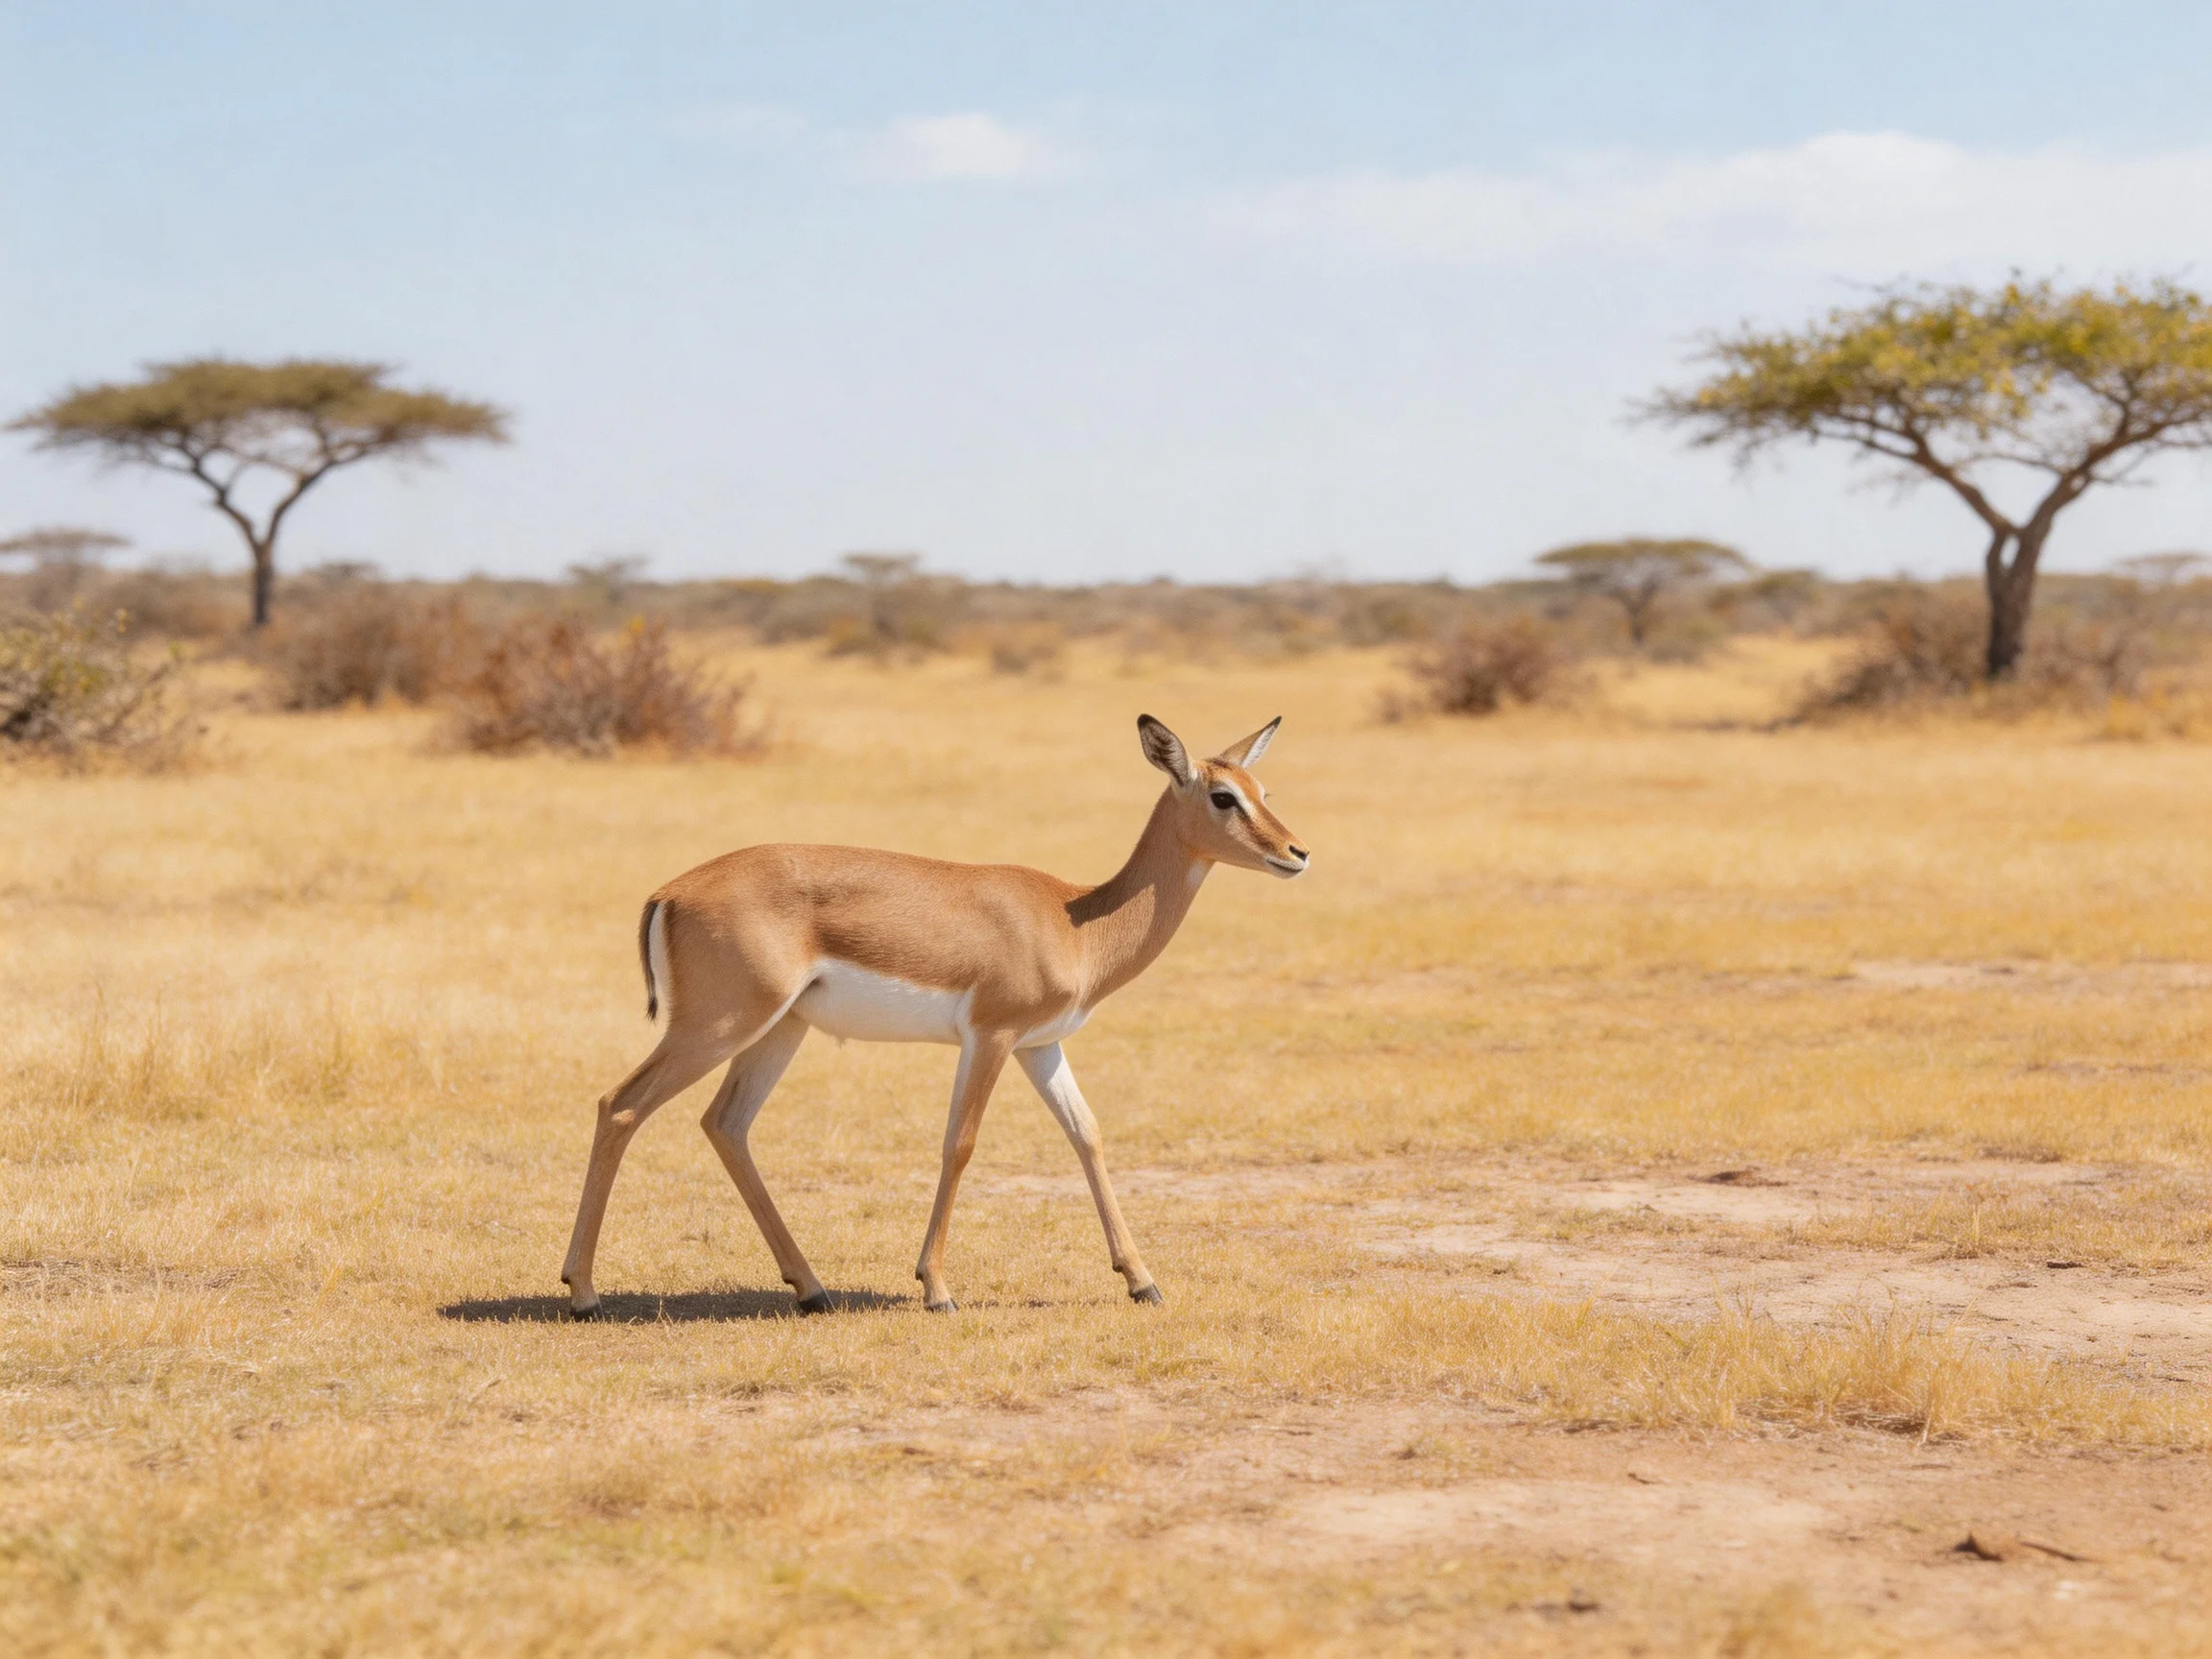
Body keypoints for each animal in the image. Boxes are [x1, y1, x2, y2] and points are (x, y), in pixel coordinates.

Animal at [560, 714, 1310, 1317]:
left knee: (725, 1124)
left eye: (1262, 790)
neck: (1075, 921)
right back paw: (584, 1293)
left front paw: (1142, 1281)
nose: (1296, 853)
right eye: (1223, 795)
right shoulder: (991, 1037)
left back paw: (812, 1289)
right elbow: (961, 1144)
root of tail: (670, 891)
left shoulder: (1040, 1046)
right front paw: (937, 1289)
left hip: (778, 1031)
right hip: (716, 1028)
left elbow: (1087, 1134)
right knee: (619, 1106)